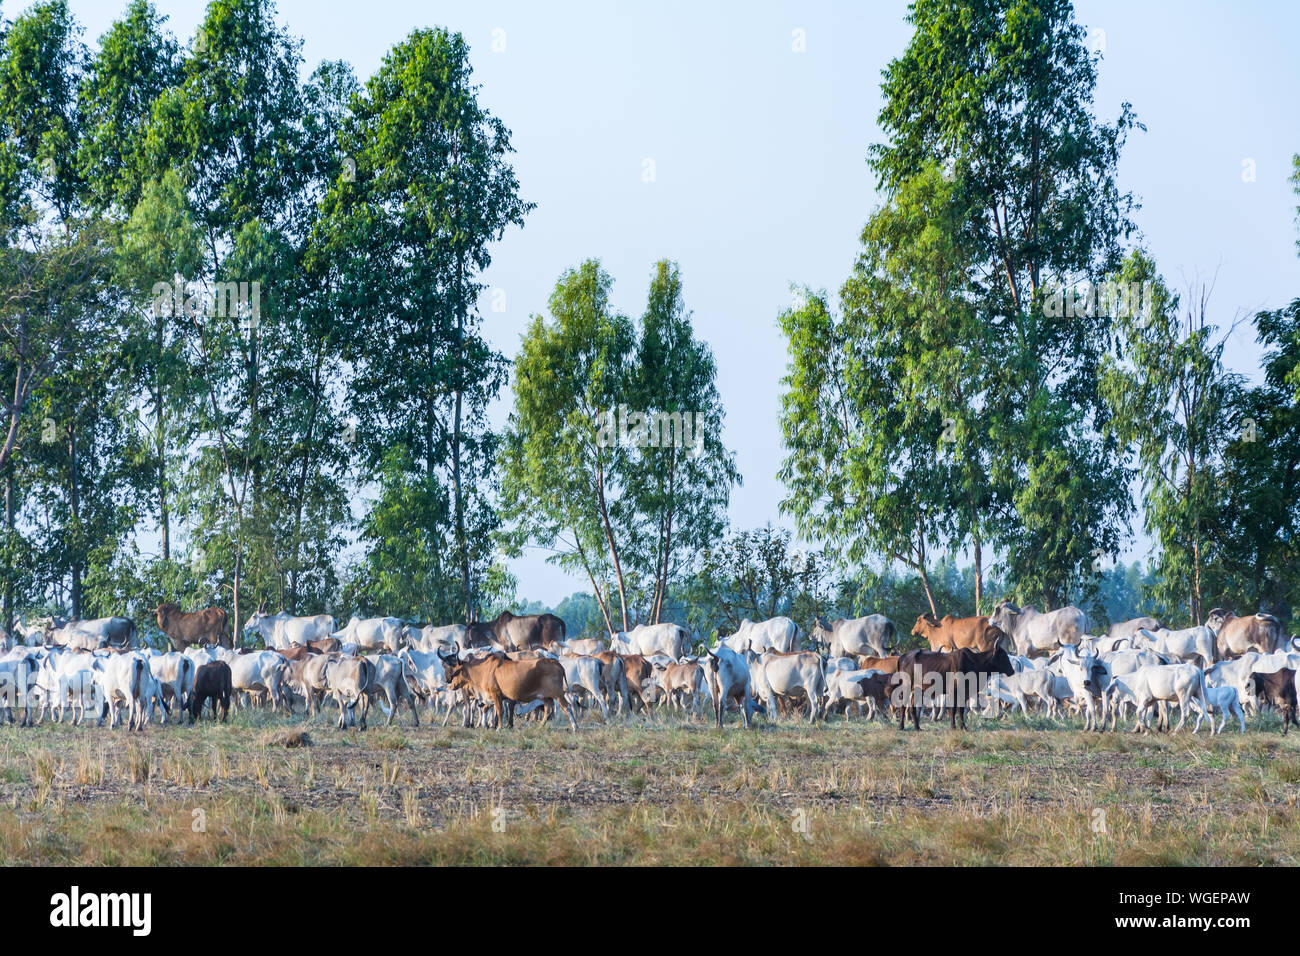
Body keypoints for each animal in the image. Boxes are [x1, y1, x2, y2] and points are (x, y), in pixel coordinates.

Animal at [439, 650, 577, 733]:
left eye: (456, 671)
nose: (450, 684)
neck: (483, 669)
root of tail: (555, 662)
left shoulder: (495, 694)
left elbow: (500, 711)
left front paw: (498, 727)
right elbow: (487, 709)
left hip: (558, 694)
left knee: (567, 707)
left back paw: (575, 727)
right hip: (545, 696)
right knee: (548, 710)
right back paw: (540, 727)